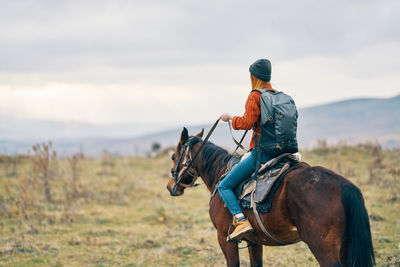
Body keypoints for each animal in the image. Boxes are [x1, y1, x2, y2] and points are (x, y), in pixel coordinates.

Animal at [166, 129, 376, 266]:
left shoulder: (225, 239)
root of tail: (345, 186)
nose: (170, 186)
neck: (220, 174)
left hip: (324, 249)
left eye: (173, 156)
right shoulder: (254, 241)